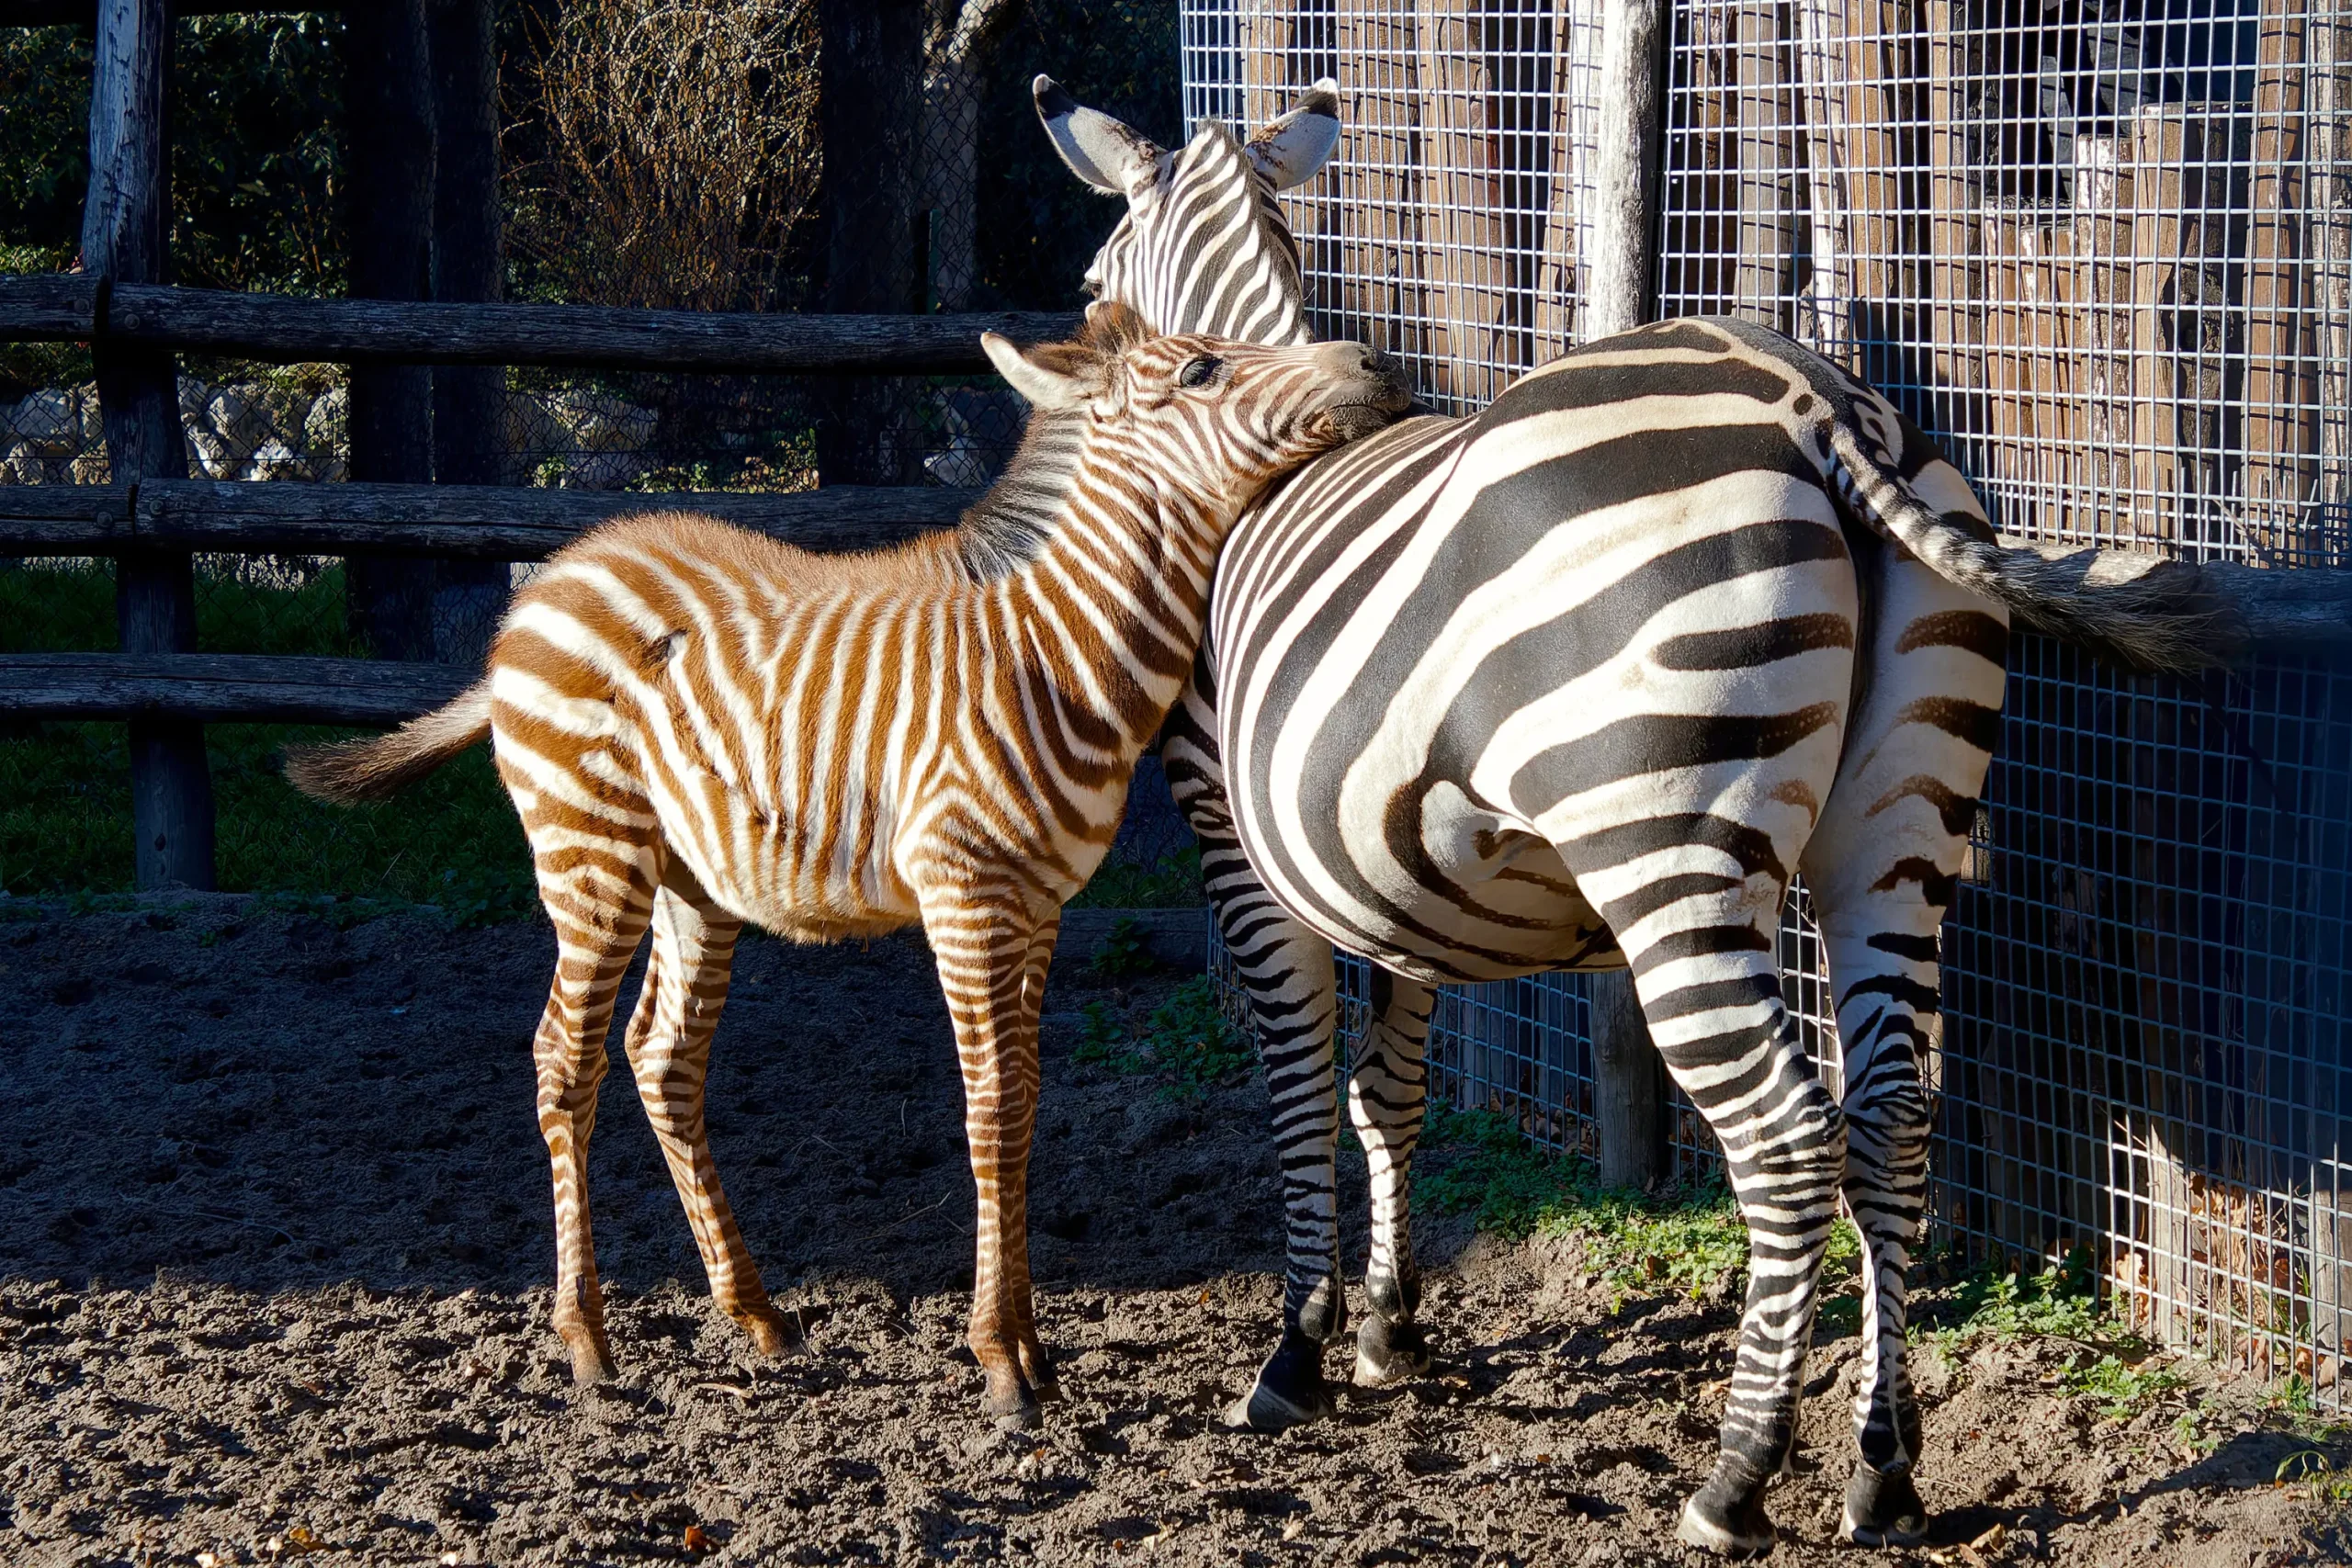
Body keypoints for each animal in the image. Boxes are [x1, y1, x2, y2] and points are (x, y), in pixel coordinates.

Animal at [284, 305, 1401, 1419]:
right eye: (1204, 369)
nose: (1375, 359)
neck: (1054, 651)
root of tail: (548, 581)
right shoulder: (965, 894)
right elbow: (990, 1103)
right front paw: (1000, 1363)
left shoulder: (1038, 904)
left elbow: (1027, 1099)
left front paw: (1033, 1348)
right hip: (590, 853)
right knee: (564, 1057)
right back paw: (587, 1342)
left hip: (693, 879)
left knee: (662, 1054)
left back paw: (758, 1315)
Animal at [1035, 80, 2239, 1551]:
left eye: (1092, 288)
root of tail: (1816, 399)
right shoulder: (1390, 872)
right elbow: (1391, 1087)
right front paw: (1389, 1325)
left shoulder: (1235, 841)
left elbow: (1301, 1085)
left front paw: (1299, 1348)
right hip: (1899, 829)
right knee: (1892, 1118)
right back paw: (1881, 1468)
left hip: (1665, 847)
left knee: (1786, 1142)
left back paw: (1735, 1480)